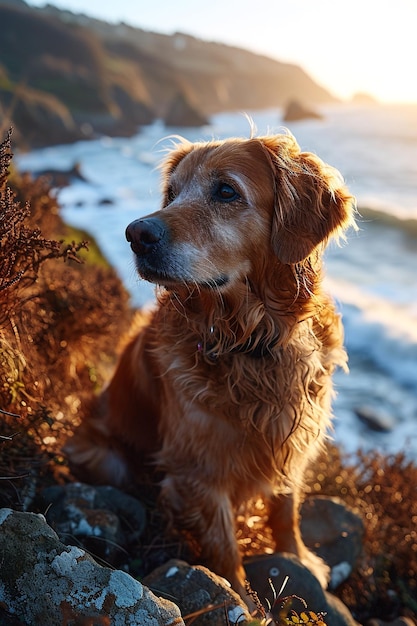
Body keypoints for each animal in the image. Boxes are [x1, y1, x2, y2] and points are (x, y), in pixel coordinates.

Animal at [66, 130, 356, 600]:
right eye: (171, 193)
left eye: (225, 191)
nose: (135, 233)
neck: (253, 343)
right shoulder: (199, 470)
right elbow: (224, 546)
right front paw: (241, 598)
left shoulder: (292, 439)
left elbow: (286, 506)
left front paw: (298, 556)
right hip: (106, 457)